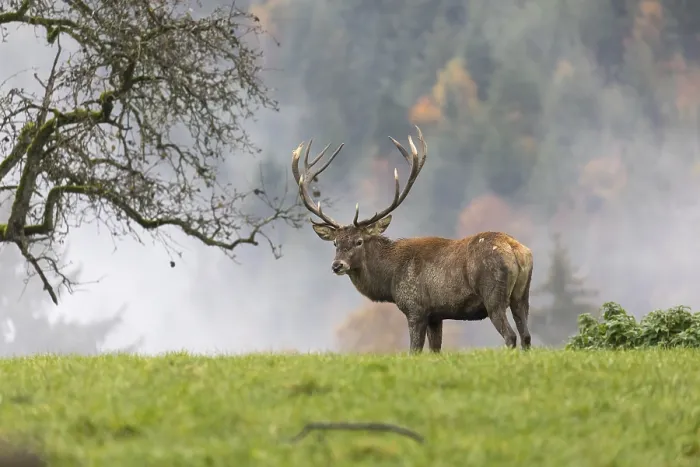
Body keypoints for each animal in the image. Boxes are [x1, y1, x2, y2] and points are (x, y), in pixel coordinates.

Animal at [291, 126, 534, 353]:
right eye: (335, 243)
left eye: (359, 241)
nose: (337, 265)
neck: (390, 280)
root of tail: (517, 251)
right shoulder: (436, 314)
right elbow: (436, 349)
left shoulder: (416, 308)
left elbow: (414, 350)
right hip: (522, 296)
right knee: (527, 336)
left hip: (493, 296)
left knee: (511, 336)